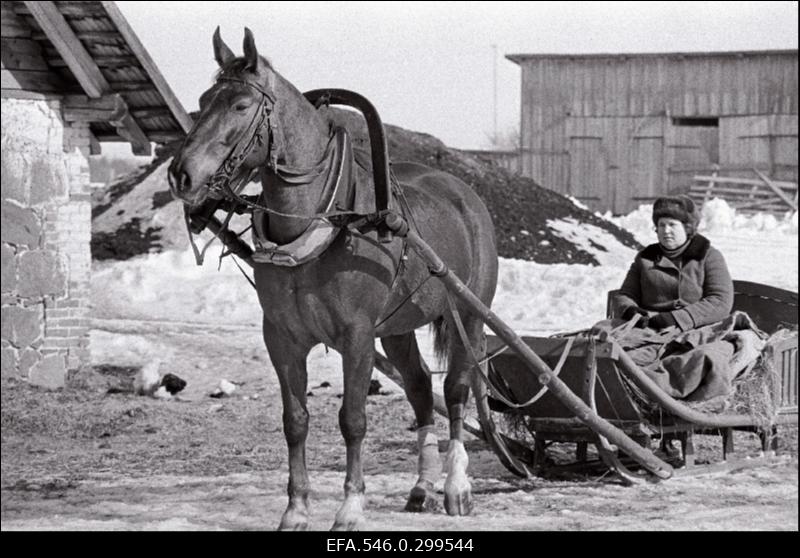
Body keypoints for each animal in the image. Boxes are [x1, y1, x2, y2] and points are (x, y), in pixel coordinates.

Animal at [167, 27, 494, 532]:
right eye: (204, 101)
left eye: (241, 105)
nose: (181, 175)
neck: (323, 221)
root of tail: (465, 194)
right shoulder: (282, 337)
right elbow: (295, 419)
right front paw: (296, 510)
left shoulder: (357, 335)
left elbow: (353, 419)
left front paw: (350, 508)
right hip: (397, 327)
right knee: (420, 387)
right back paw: (422, 486)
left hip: (468, 314)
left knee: (456, 390)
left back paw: (457, 486)